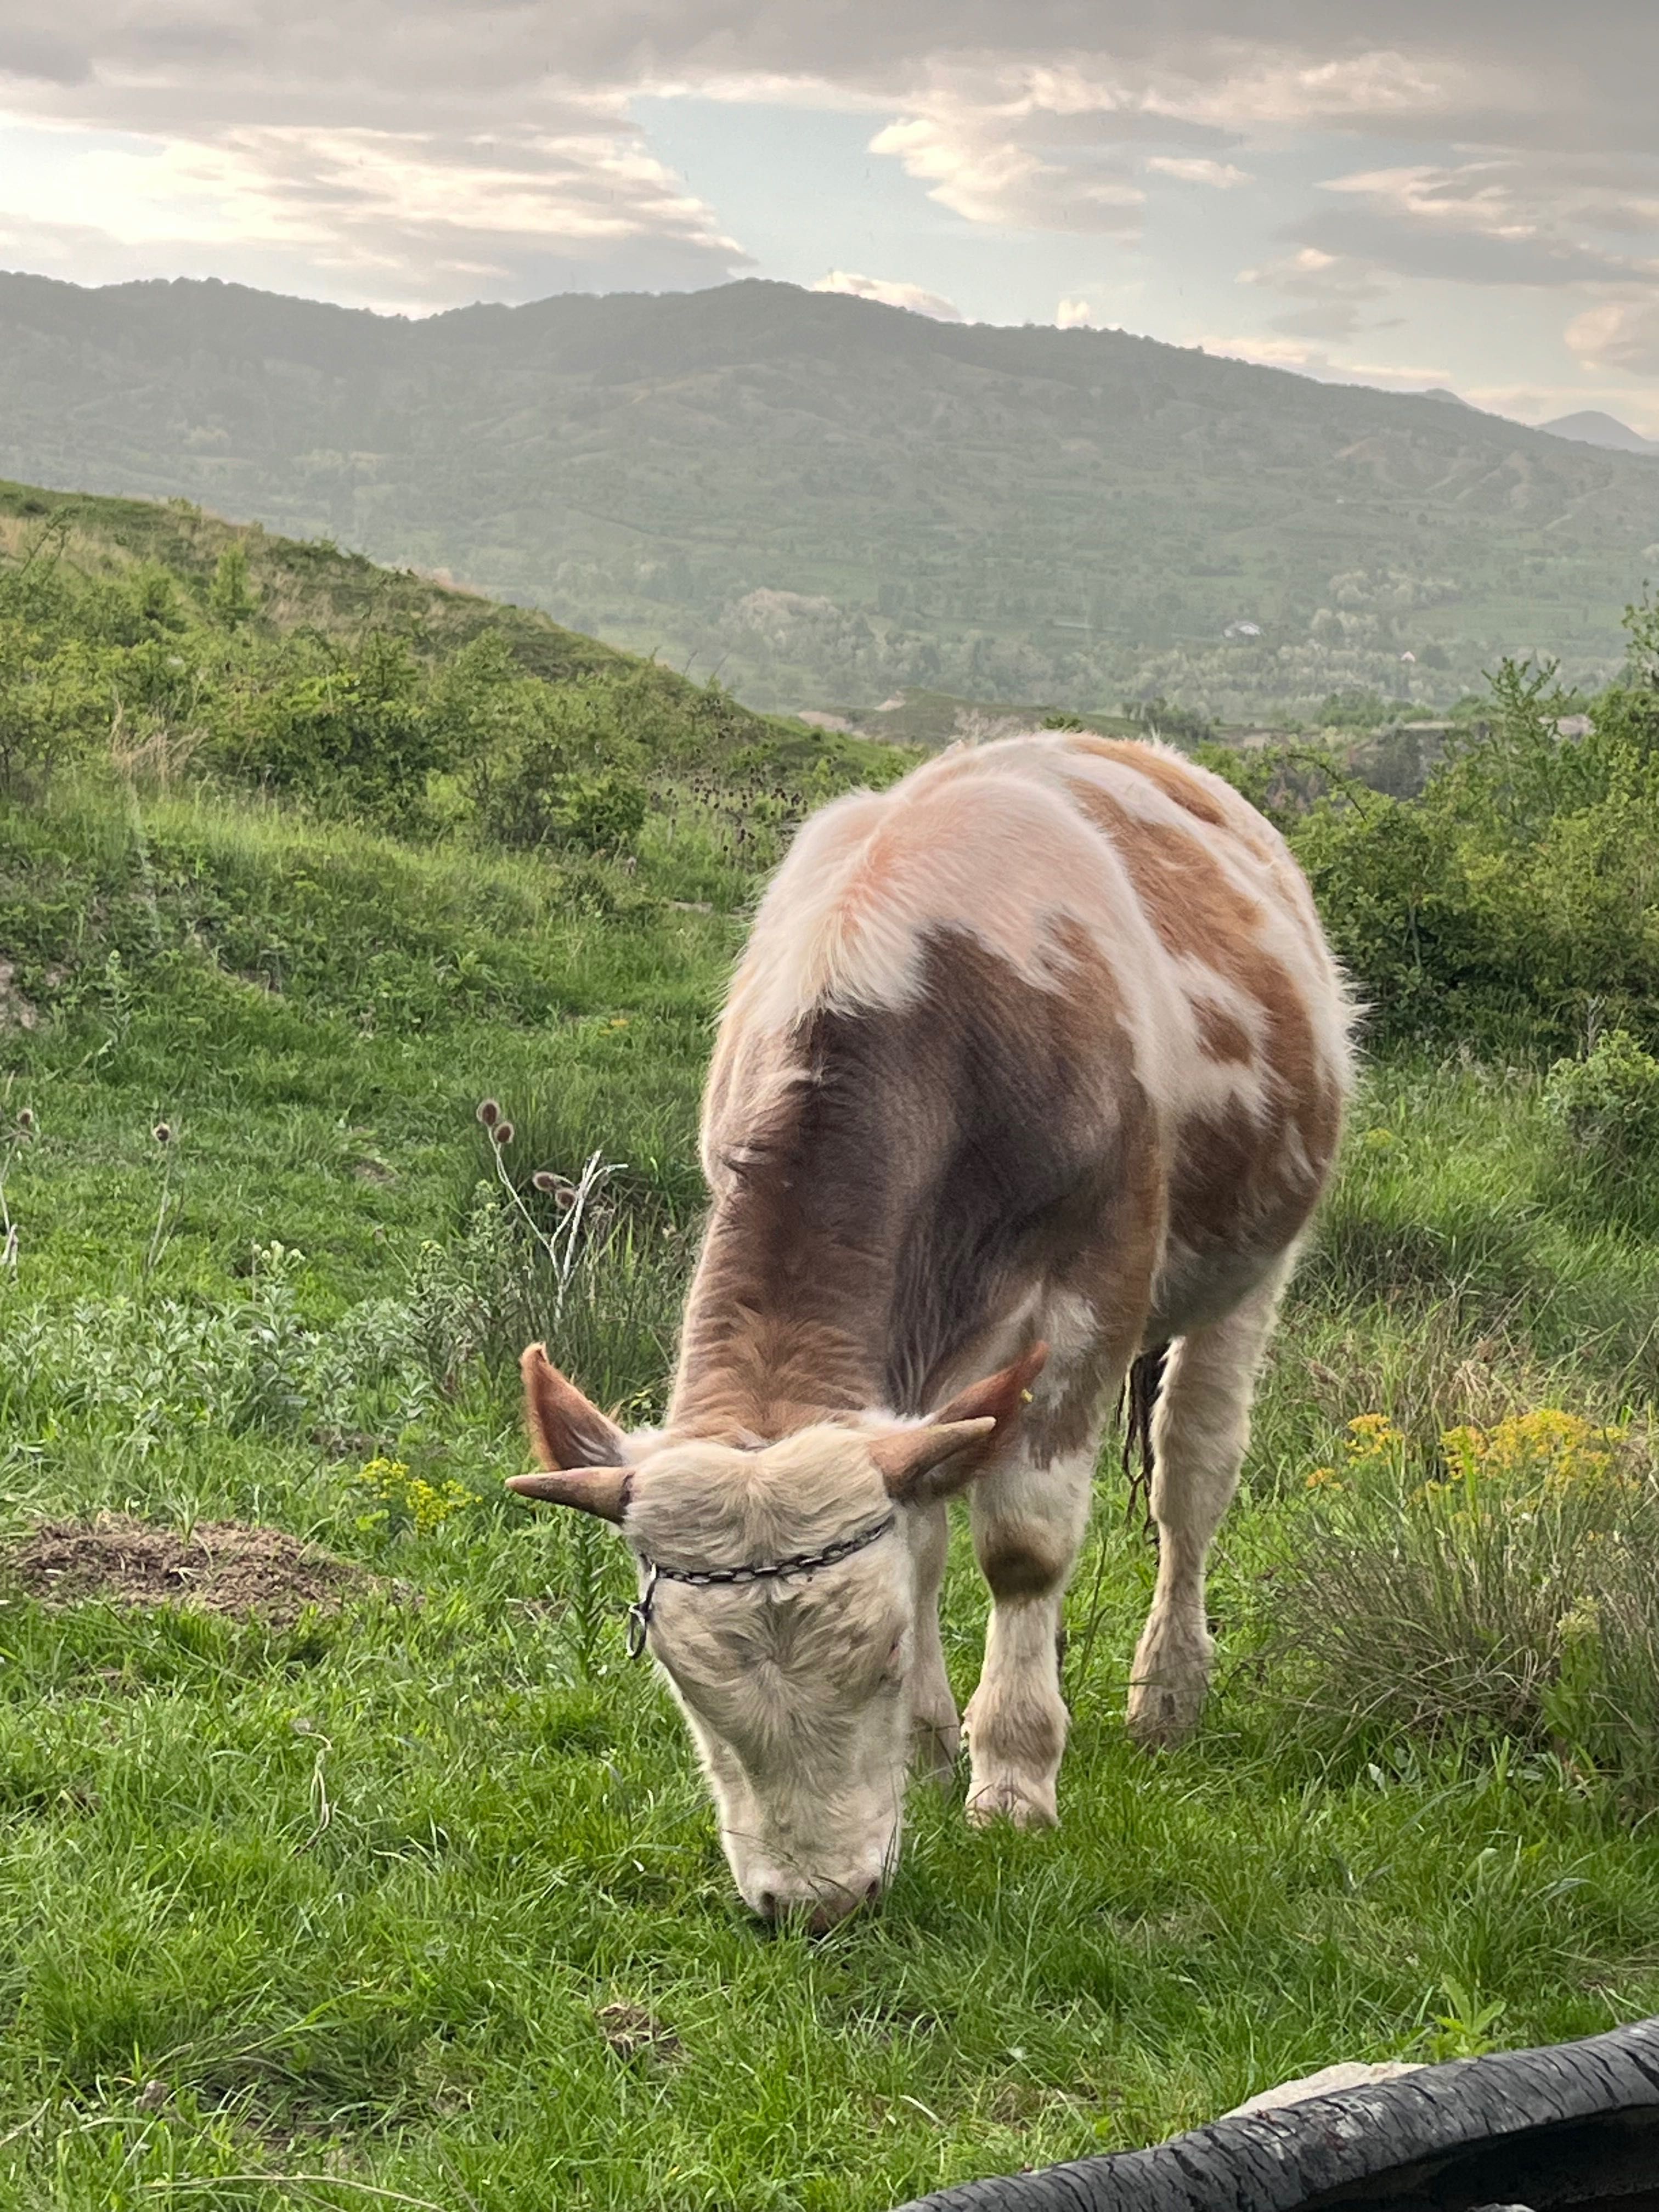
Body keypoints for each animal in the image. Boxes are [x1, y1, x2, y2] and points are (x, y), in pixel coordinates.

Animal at [506, 734, 1353, 1928]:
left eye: (883, 1652)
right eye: (681, 1678)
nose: (815, 1904)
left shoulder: (1089, 1295)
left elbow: (1024, 1547)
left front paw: (1014, 1776)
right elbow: (924, 1530)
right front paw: (928, 1745)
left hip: (1253, 1264)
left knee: (1193, 1476)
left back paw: (1166, 1691)